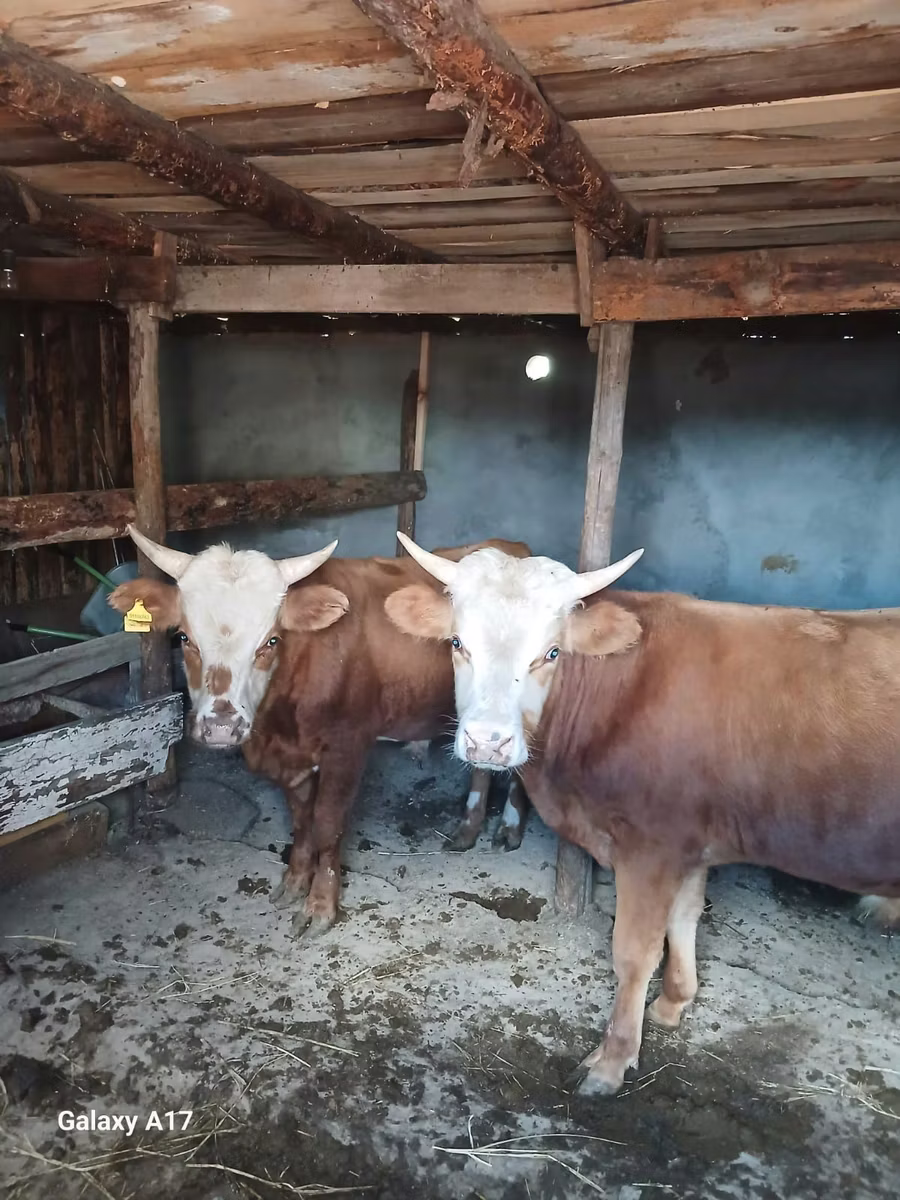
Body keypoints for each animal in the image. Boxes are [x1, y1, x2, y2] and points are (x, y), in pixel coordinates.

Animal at [109, 527, 531, 935]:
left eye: (271, 641)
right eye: (184, 639)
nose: (222, 726)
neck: (279, 725)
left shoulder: (347, 748)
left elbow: (327, 825)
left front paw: (320, 906)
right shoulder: (293, 760)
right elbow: (301, 821)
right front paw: (295, 881)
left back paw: (508, 828)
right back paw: (468, 827)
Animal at [385, 533, 900, 1096]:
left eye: (552, 652)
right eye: (458, 643)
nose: (488, 742)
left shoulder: (652, 848)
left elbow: (634, 952)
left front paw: (611, 1061)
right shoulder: (690, 843)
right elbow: (685, 918)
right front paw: (674, 1002)